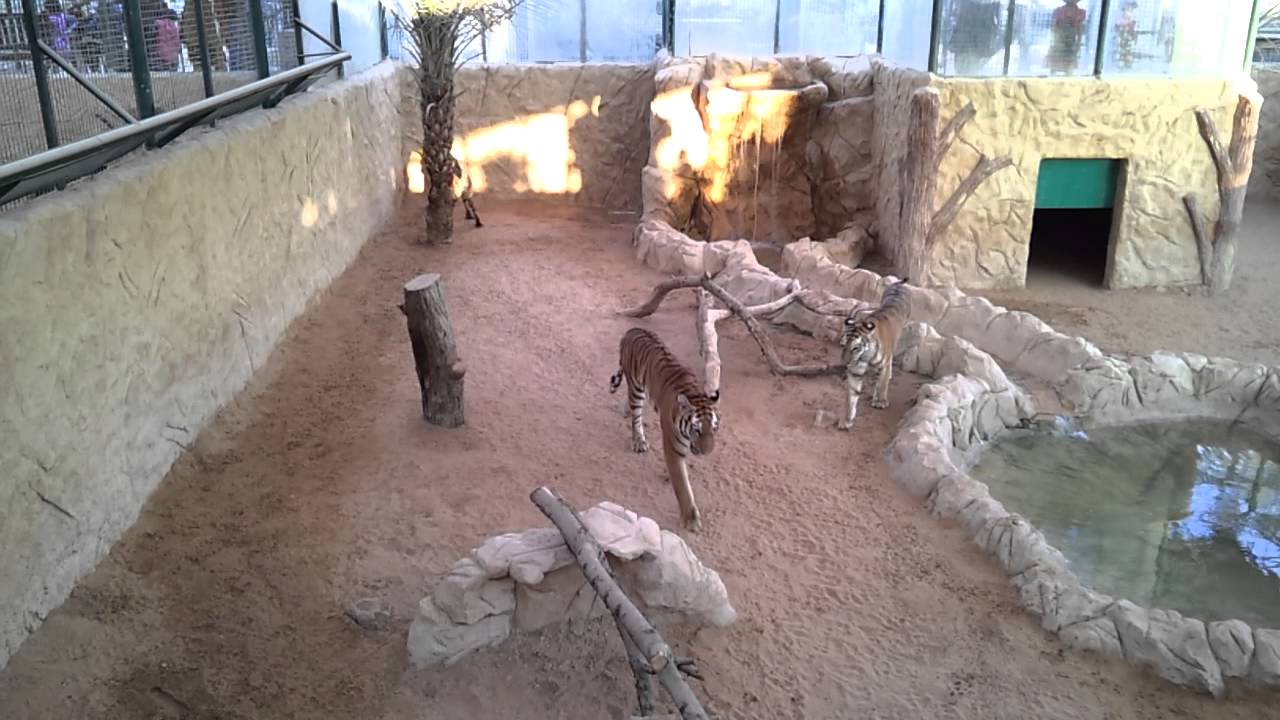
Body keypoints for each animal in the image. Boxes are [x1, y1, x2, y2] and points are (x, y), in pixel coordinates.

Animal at [609, 327, 720, 532]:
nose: (708, 452)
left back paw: (626, 410)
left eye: (714, 429)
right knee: (636, 417)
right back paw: (639, 441)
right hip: (636, 387)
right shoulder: (673, 446)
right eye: (697, 430)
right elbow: (683, 487)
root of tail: (632, 329)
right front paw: (690, 520)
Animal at [837, 277, 911, 431]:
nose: (844, 364)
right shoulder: (855, 370)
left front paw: (880, 402)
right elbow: (851, 395)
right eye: (845, 344)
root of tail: (899, 284)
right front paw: (846, 419)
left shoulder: (883, 364)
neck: (865, 356)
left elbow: (882, 383)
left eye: (855, 348)